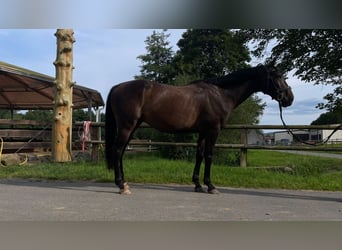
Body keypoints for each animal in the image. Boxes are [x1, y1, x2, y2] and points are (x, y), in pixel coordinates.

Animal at [105, 63, 294, 194]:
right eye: (277, 76)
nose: (289, 98)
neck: (221, 94)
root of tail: (117, 87)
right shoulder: (213, 130)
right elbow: (209, 156)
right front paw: (210, 186)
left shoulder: (203, 131)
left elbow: (199, 155)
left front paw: (197, 184)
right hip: (127, 126)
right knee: (117, 150)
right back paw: (121, 185)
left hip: (132, 127)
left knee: (121, 152)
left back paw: (124, 182)